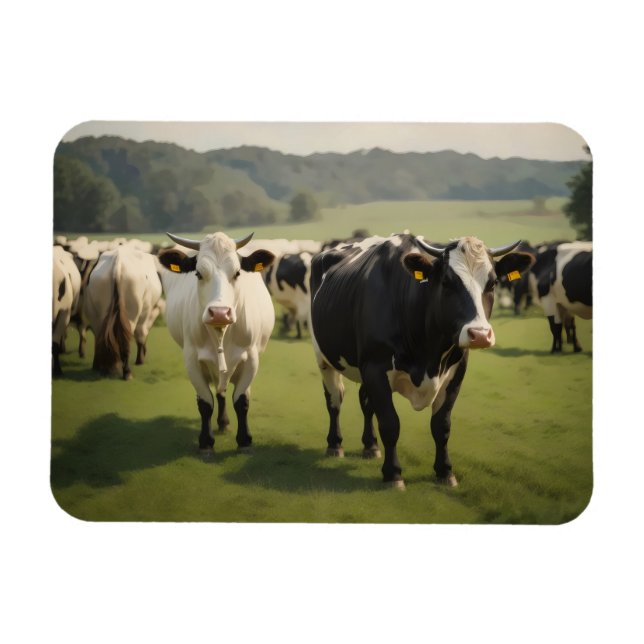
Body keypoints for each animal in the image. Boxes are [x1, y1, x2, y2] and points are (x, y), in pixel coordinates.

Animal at [83, 245, 163, 379]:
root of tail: (118, 260)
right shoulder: (145, 313)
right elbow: (141, 334)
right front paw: (140, 359)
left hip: (99, 311)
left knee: (101, 335)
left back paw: (101, 367)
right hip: (131, 312)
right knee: (127, 336)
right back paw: (126, 372)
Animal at [157, 232, 276, 452]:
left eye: (237, 273)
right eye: (198, 274)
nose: (220, 313)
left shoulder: (251, 359)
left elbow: (241, 400)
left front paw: (244, 440)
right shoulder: (192, 360)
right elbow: (205, 403)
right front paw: (206, 442)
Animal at [310, 233, 534, 489]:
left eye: (493, 283)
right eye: (446, 282)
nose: (479, 334)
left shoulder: (456, 371)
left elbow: (441, 426)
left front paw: (445, 471)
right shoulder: (375, 368)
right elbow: (390, 423)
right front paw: (393, 474)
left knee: (365, 402)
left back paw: (370, 446)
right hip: (324, 358)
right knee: (334, 399)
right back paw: (335, 444)